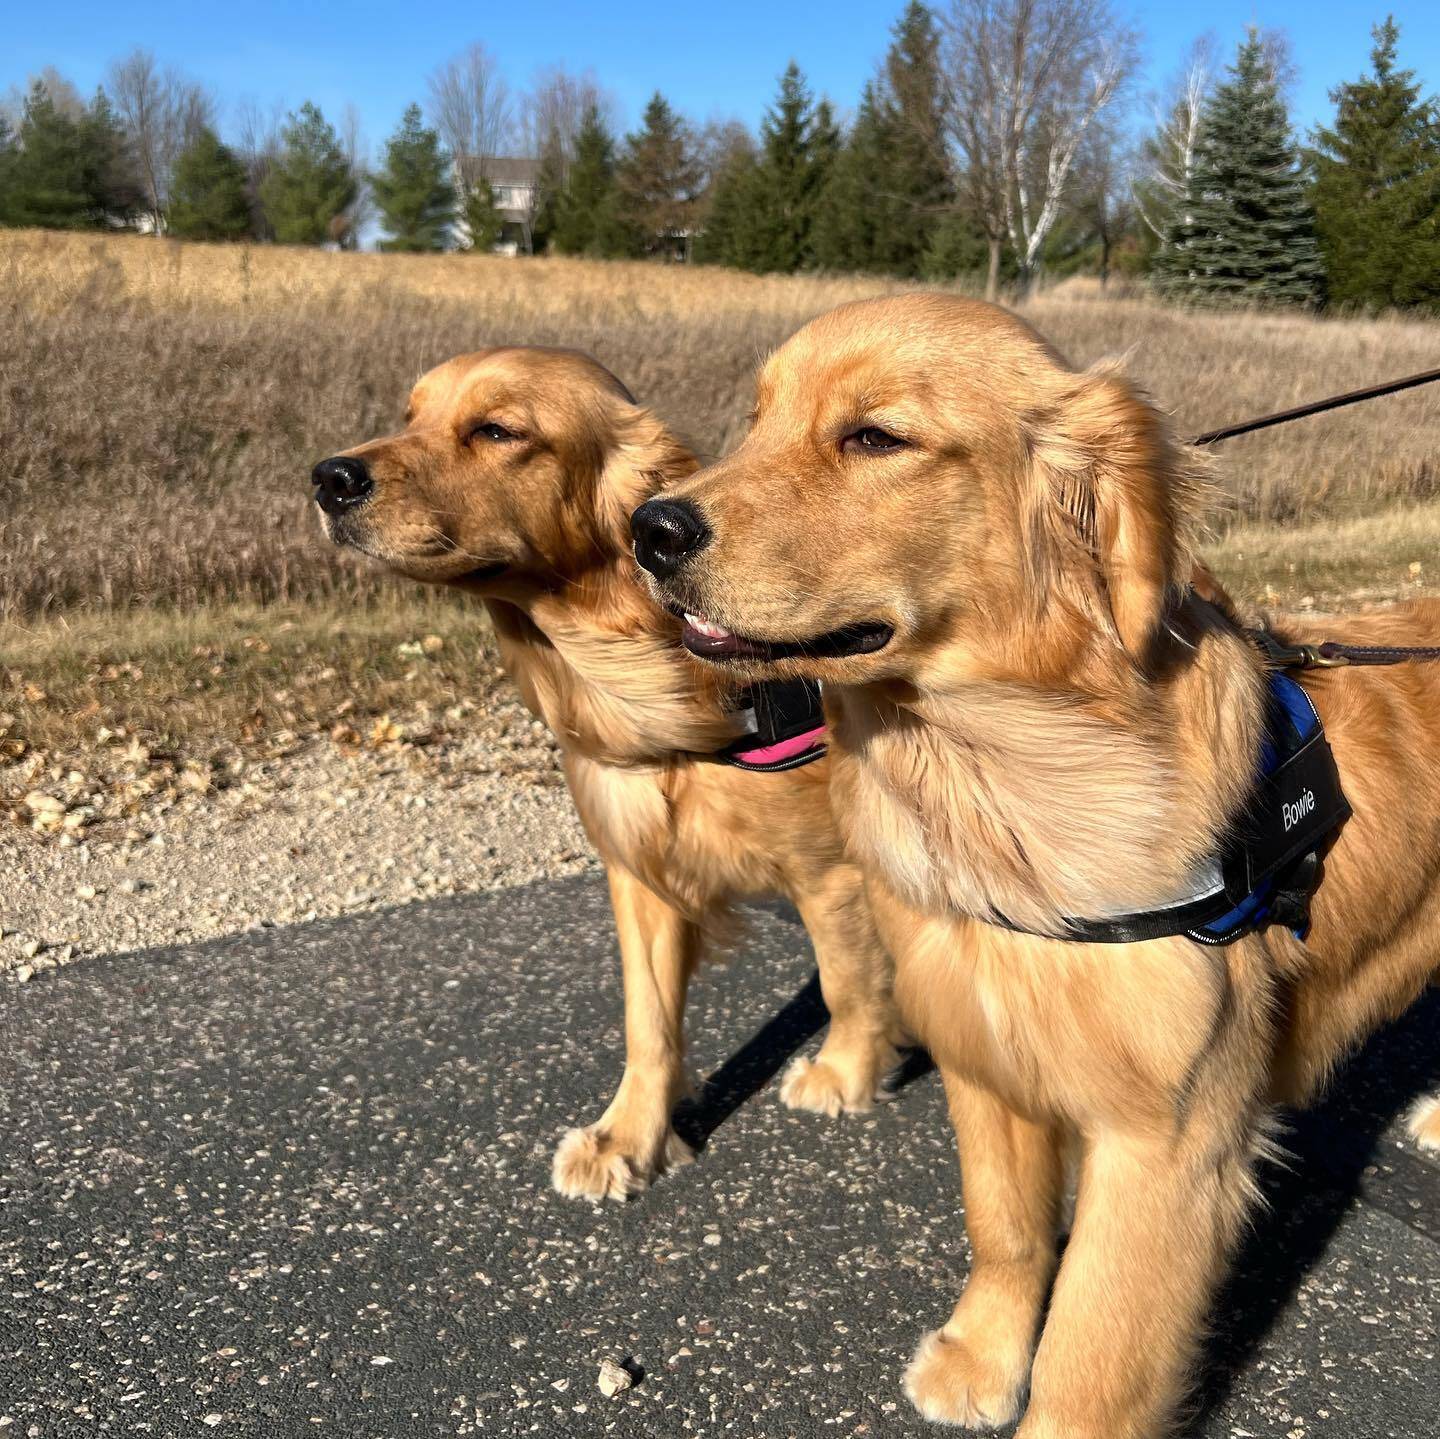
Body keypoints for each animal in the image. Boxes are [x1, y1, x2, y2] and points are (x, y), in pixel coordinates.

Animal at [312, 348, 898, 1204]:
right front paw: (632, 1137)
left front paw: (847, 1073)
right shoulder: (639, 869)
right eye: (410, 415)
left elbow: (846, 981)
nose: (329, 477)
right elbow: (648, 1021)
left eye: (498, 430)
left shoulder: (830, 872)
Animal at [639, 295, 1440, 1439]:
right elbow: (1007, 1231)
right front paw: (981, 1356)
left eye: (875, 438)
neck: (995, 775)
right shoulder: (985, 1054)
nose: (648, 529)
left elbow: (1094, 1356)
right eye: (756, 419)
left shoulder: (1169, 1144)